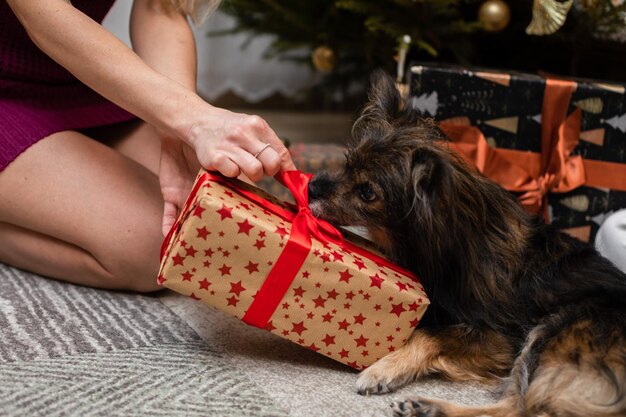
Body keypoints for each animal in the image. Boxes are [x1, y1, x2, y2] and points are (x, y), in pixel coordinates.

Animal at [308, 71, 624, 416]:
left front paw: (384, 367)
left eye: (367, 192)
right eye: (347, 164)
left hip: (552, 329)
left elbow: (428, 334)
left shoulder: (504, 338)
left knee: (520, 409)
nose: (311, 187)